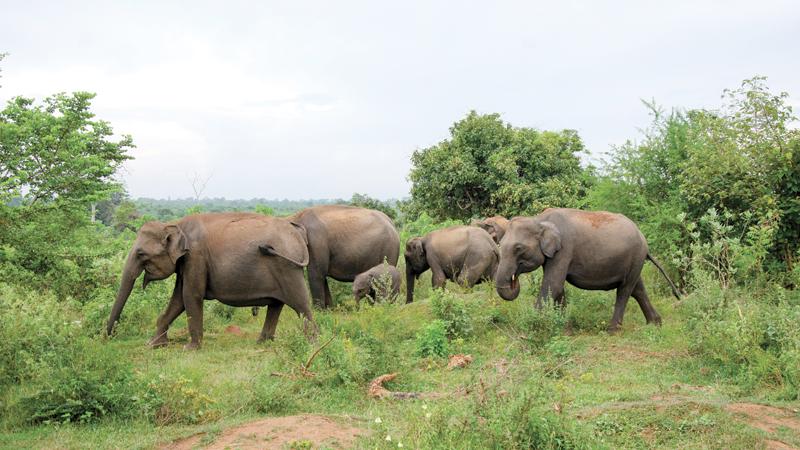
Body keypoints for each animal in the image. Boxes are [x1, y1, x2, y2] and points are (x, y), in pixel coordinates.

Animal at [105, 213, 316, 350]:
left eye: (141, 253)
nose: (108, 337)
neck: (175, 224)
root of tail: (298, 234)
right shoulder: (186, 262)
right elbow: (178, 299)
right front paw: (153, 345)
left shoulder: (195, 256)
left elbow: (190, 295)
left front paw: (190, 349)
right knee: (276, 305)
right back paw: (262, 342)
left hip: (288, 269)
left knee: (301, 305)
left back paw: (311, 343)